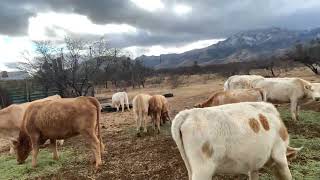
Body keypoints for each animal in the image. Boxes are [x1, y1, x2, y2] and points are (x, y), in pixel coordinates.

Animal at [171, 102, 302, 179]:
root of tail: (188, 113)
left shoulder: (253, 166)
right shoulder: (279, 154)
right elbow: (287, 175)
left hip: (191, 167)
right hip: (203, 170)